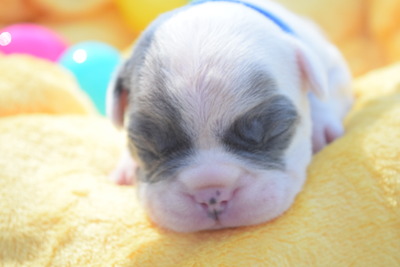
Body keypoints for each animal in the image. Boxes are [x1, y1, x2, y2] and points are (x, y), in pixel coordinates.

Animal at [108, 0, 352, 233]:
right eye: (145, 145)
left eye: (275, 132)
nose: (210, 194)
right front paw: (127, 164)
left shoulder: (333, 65)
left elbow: (326, 90)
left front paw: (321, 127)